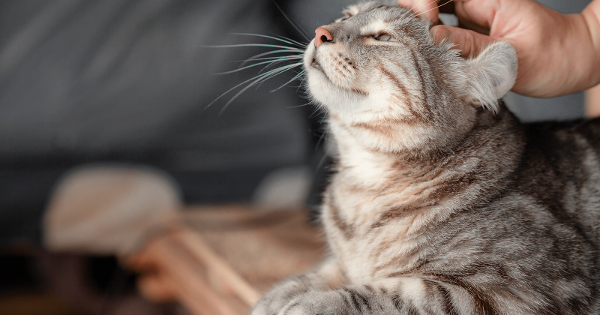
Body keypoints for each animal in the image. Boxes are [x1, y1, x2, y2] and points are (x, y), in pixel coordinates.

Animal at [248, 1, 600, 314]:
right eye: (346, 15)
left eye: (382, 37)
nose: (321, 32)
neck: (366, 180)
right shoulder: (344, 260)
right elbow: (327, 271)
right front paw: (279, 295)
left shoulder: (508, 290)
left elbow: (387, 294)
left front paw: (312, 303)